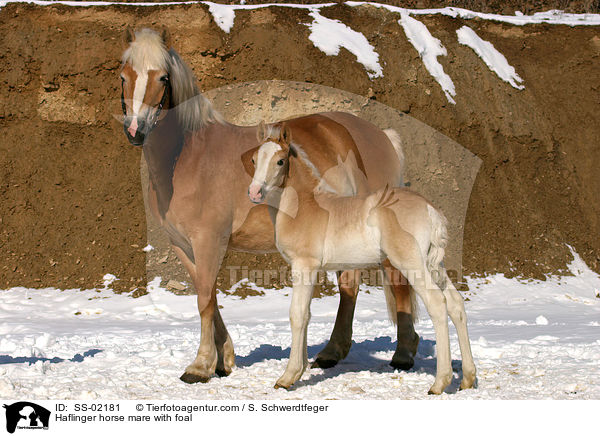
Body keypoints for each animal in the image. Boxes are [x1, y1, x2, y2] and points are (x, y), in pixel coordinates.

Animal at [117, 29, 418, 384]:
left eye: (163, 77)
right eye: (124, 76)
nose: (135, 129)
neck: (188, 157)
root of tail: (381, 135)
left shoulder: (209, 241)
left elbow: (204, 299)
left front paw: (200, 365)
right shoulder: (183, 245)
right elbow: (209, 296)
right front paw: (224, 359)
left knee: (397, 282)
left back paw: (403, 354)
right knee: (349, 286)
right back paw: (331, 352)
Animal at [246, 121, 476, 394]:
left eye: (280, 161)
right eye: (253, 159)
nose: (254, 192)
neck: (306, 206)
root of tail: (431, 211)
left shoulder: (304, 266)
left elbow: (298, 314)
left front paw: (288, 376)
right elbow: (307, 315)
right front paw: (300, 370)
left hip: (412, 264)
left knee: (437, 303)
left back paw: (440, 382)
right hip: (434, 265)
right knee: (456, 304)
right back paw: (468, 378)